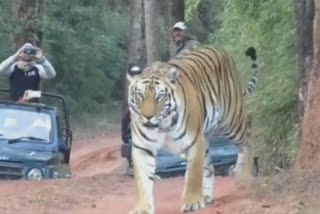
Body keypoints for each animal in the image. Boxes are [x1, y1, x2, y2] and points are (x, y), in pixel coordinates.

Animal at [127, 46, 258, 213]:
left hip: (232, 120)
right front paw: (143, 208)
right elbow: (142, 181)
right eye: (140, 95)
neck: (162, 126)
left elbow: (193, 175)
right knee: (209, 166)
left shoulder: (194, 142)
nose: (148, 116)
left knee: (247, 141)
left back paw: (245, 178)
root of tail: (220, 50)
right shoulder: (142, 148)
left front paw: (192, 202)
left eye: (159, 96)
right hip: (207, 136)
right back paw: (207, 196)